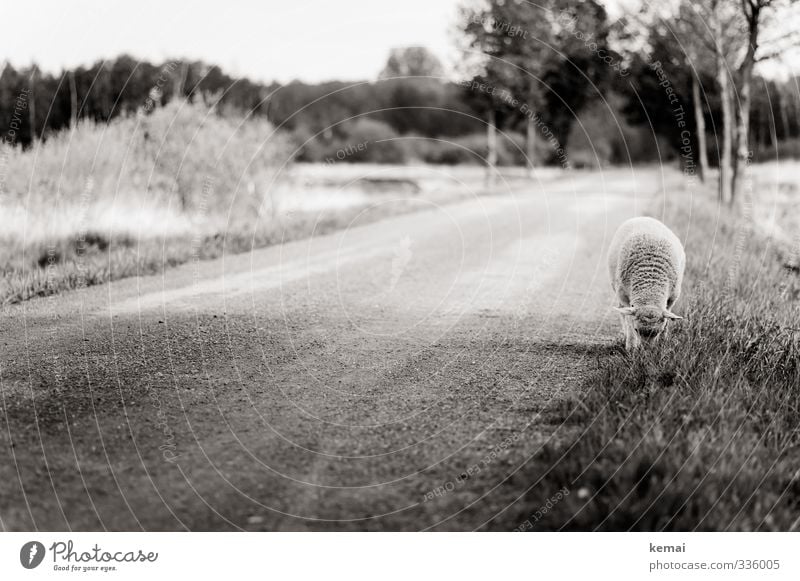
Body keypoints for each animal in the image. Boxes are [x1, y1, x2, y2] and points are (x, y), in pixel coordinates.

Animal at [608, 214, 688, 346]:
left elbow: (667, 321)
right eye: (636, 330)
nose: (646, 350)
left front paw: (663, 342)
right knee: (622, 311)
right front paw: (631, 346)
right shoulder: (625, 298)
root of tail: (642, 217)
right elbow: (629, 321)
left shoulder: (671, 299)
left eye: (658, 331)